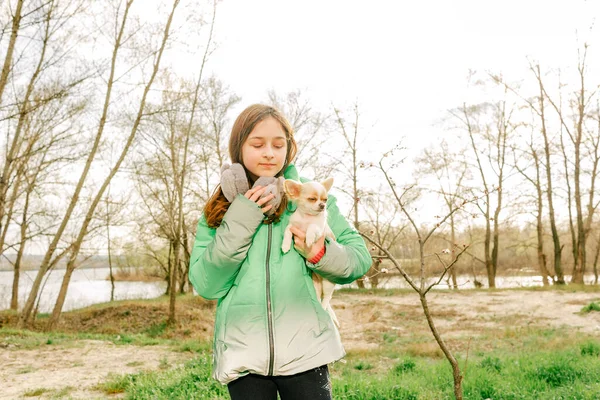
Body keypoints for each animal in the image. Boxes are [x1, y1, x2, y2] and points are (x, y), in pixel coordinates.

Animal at [280, 179, 338, 328]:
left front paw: (309, 237)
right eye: (312, 199)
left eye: (325, 199)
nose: (322, 205)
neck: (307, 218)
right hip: (315, 284)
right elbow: (287, 231)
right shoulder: (293, 226)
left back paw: (323, 308)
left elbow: (312, 227)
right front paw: (285, 245)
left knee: (327, 298)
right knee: (318, 296)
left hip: (328, 284)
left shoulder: (320, 230)